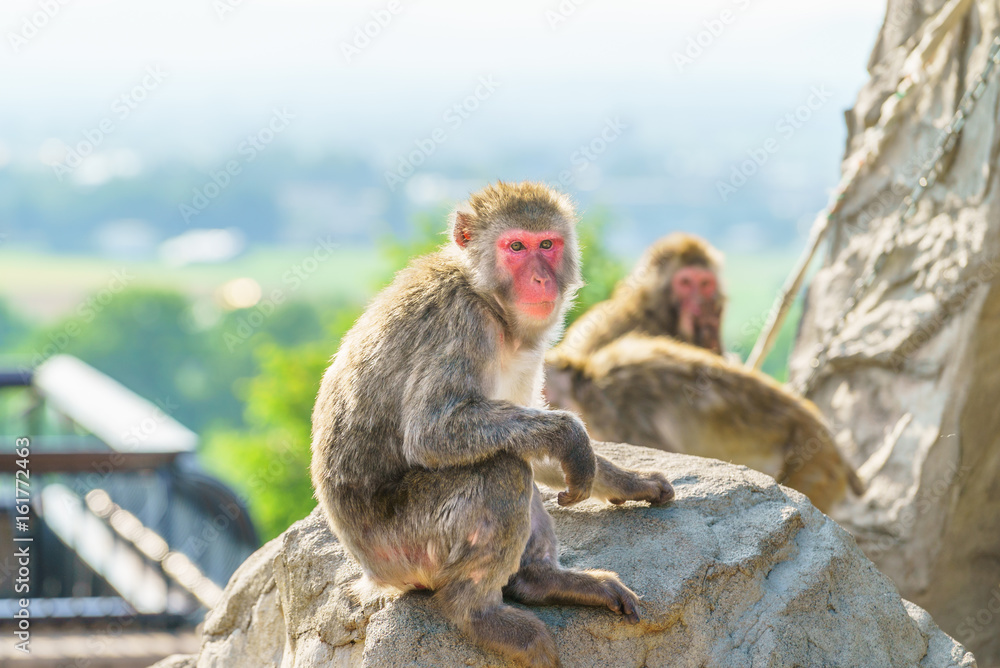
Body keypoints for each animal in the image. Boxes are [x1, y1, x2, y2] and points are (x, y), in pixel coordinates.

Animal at [310, 182, 674, 667]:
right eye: (515, 247)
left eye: (547, 244)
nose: (540, 279)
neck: (487, 299)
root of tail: (373, 575)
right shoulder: (460, 324)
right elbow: (432, 431)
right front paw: (572, 437)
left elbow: (532, 436)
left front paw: (629, 481)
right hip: (405, 546)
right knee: (501, 471)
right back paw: (478, 614)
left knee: (511, 454)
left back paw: (542, 580)